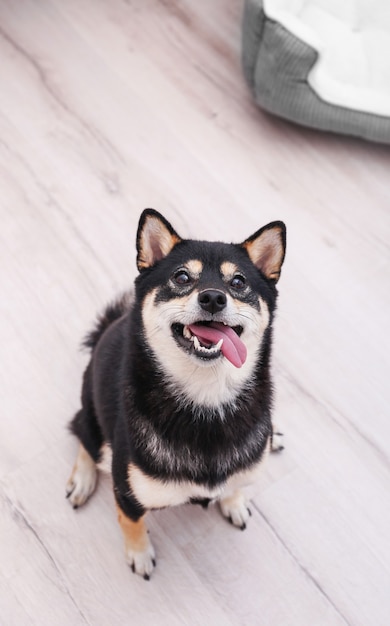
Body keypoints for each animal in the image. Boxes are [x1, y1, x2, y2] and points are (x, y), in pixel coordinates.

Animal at [66, 207, 286, 576]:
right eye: (182, 277)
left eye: (238, 282)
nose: (213, 297)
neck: (206, 398)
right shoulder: (127, 492)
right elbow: (131, 522)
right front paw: (140, 554)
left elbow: (236, 483)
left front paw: (234, 501)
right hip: (92, 417)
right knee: (83, 433)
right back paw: (81, 479)